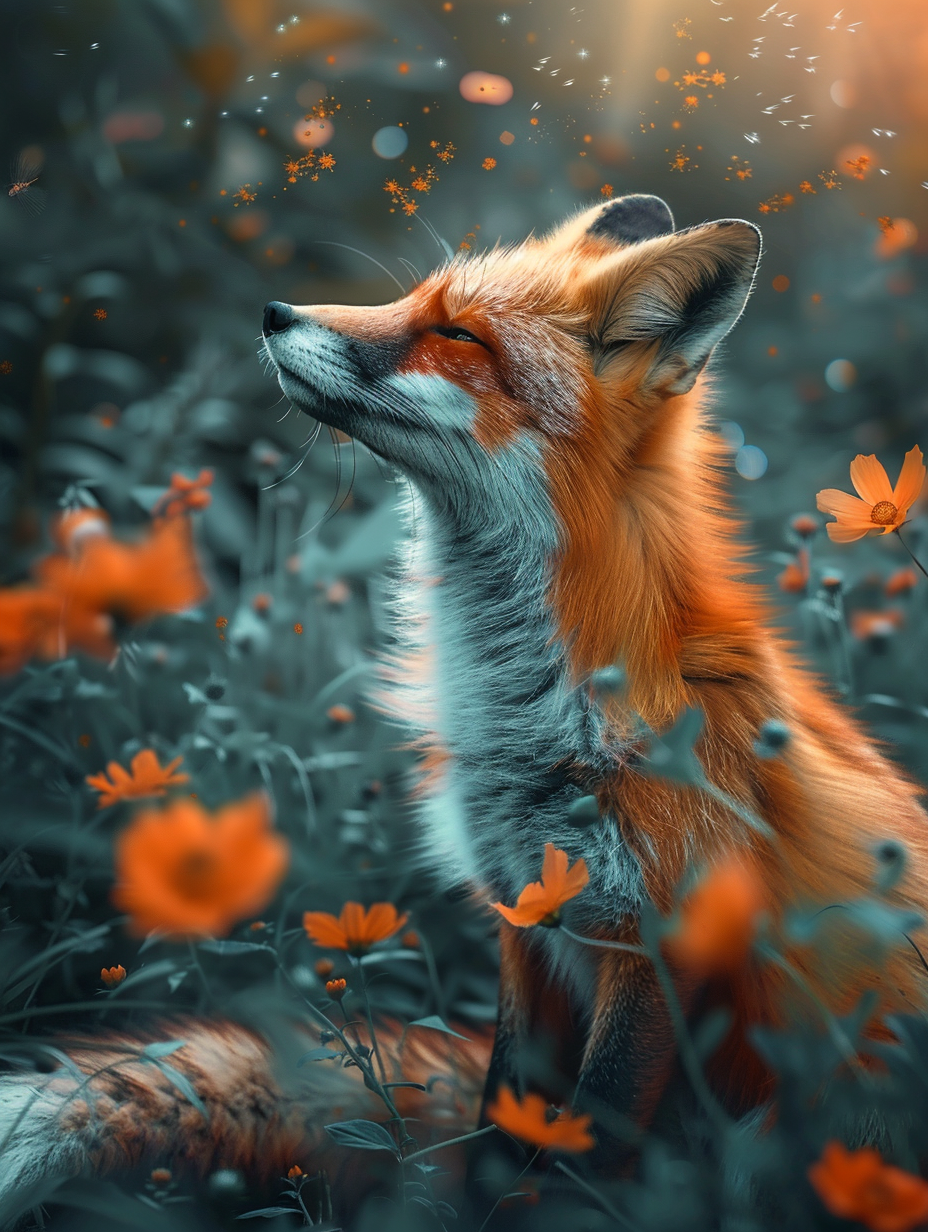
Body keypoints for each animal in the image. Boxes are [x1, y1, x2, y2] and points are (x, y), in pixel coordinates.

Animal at [2, 192, 928, 1224]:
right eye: (411, 300)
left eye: (455, 335)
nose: (275, 313)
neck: (536, 713)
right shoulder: (528, 913)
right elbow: (499, 1126)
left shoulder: (659, 942)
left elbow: (578, 1150)